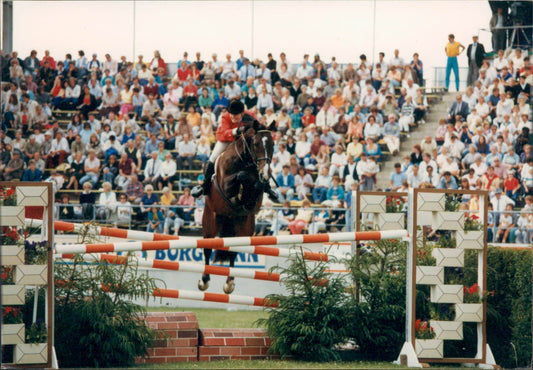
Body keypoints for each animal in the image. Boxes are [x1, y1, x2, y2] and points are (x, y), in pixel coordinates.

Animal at [198, 115, 274, 294]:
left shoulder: (254, 201)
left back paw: (230, 282)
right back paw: (204, 280)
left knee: (233, 251)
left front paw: (257, 186)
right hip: (211, 220)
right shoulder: (225, 184)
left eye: (272, 145)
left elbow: (254, 188)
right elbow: (240, 177)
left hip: (244, 228)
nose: (266, 174)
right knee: (207, 248)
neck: (245, 161)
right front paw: (239, 193)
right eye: (256, 144)